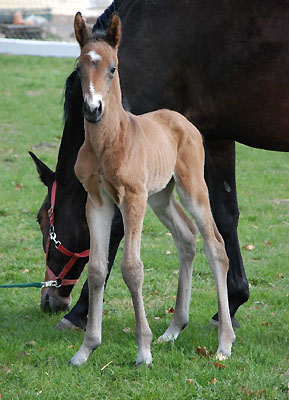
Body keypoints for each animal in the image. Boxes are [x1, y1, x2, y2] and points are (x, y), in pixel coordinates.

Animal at [70, 13, 234, 366]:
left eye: (113, 68)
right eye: (79, 67)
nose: (93, 109)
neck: (108, 142)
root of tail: (183, 122)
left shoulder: (132, 198)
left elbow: (132, 268)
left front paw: (142, 350)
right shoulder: (97, 201)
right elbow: (97, 269)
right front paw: (86, 349)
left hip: (191, 189)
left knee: (215, 244)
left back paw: (224, 343)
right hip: (160, 197)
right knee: (186, 236)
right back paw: (173, 330)